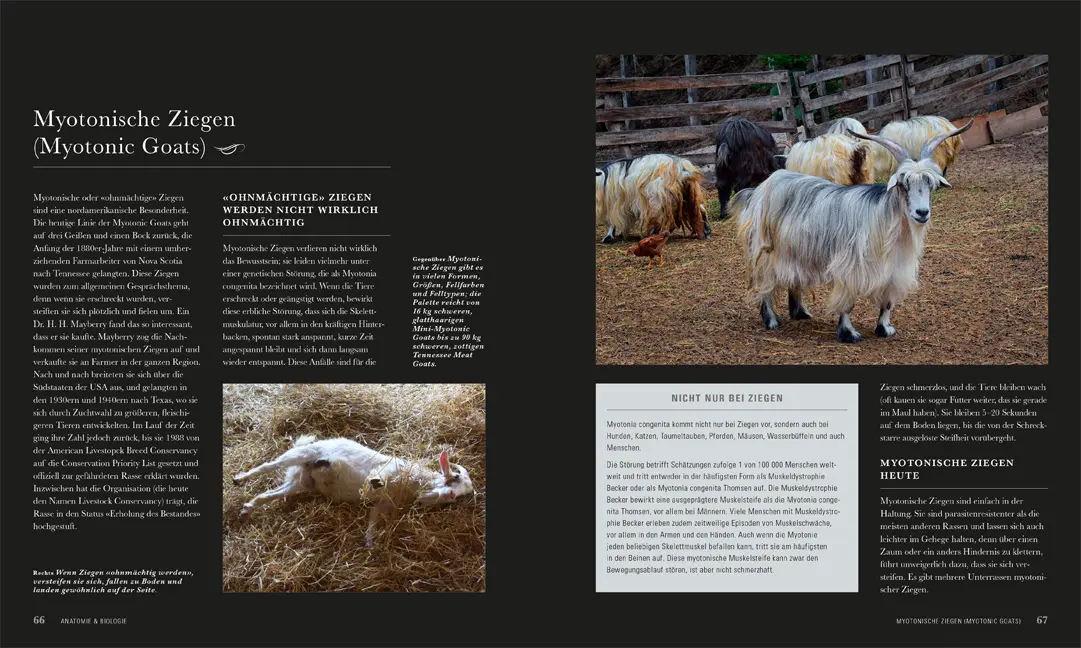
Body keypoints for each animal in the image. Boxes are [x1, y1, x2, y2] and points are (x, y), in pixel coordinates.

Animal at [232, 435, 474, 546]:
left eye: (459, 496)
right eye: (455, 477)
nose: (451, 495)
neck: (411, 483)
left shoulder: (382, 504)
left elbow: (373, 521)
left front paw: (369, 543)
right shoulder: (389, 470)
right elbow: (377, 478)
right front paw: (374, 481)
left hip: (299, 483)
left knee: (267, 495)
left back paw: (246, 509)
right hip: (301, 454)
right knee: (267, 466)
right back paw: (239, 478)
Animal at [731, 119, 973, 342]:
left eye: (931, 184)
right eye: (903, 184)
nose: (922, 212)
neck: (883, 219)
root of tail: (757, 191)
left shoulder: (893, 271)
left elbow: (887, 302)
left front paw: (885, 329)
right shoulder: (850, 268)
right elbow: (847, 303)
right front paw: (848, 333)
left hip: (793, 250)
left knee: (793, 278)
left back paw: (800, 312)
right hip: (763, 251)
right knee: (764, 284)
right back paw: (771, 320)